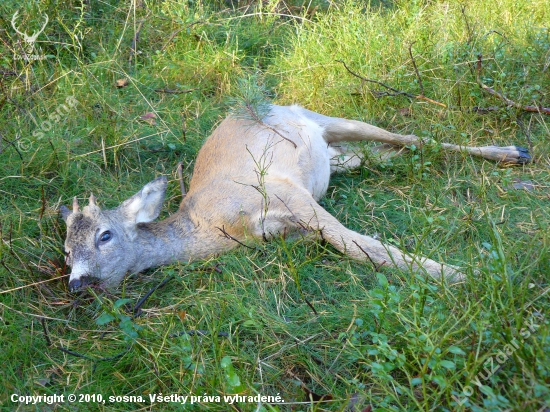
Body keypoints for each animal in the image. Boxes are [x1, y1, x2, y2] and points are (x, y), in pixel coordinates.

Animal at [60, 104, 532, 292]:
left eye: (104, 235)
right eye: (66, 250)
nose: (77, 283)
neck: (218, 225)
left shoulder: (288, 194)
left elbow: (364, 247)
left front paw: (475, 276)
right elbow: (346, 244)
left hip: (327, 119)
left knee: (409, 138)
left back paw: (515, 152)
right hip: (333, 157)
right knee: (375, 156)